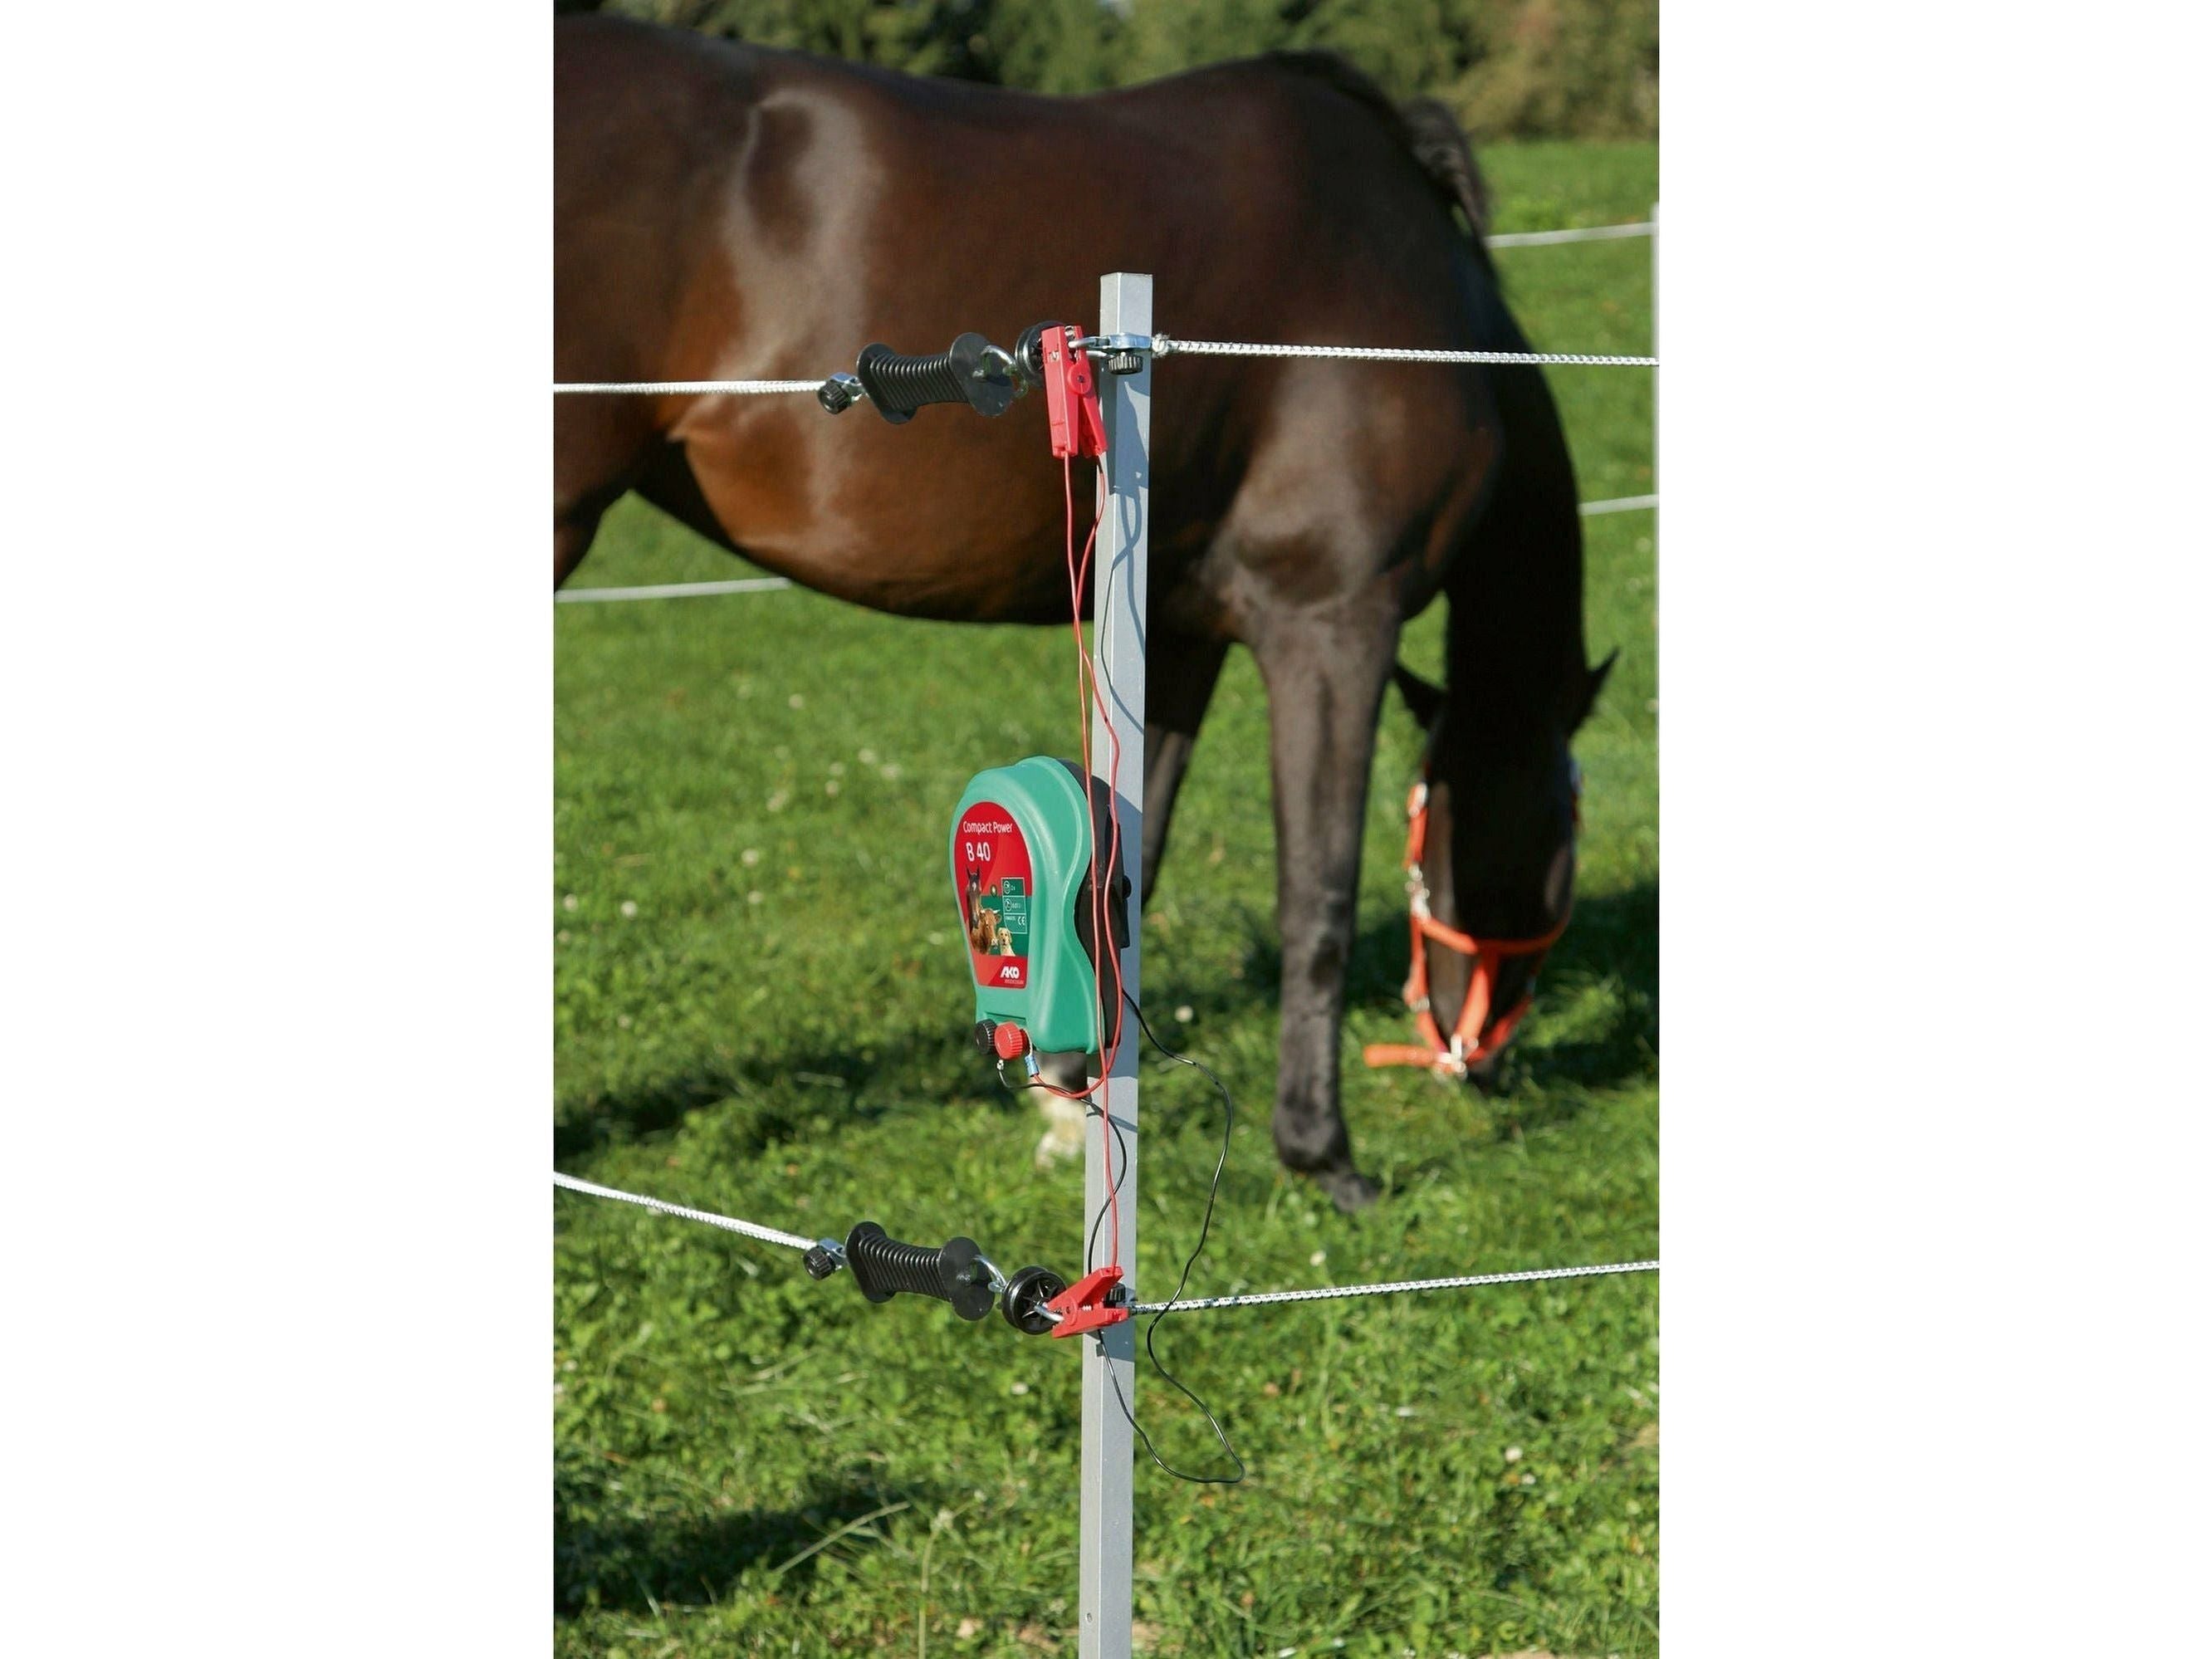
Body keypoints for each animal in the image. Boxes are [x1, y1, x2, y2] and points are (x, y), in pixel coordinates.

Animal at [555, 15, 1613, 1211]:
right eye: (1567, 822)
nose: (1473, 1057)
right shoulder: (1334, 621)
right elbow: (1319, 897)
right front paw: (1324, 1155)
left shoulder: (1179, 632)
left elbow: (1127, 859)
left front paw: (1072, 1103)